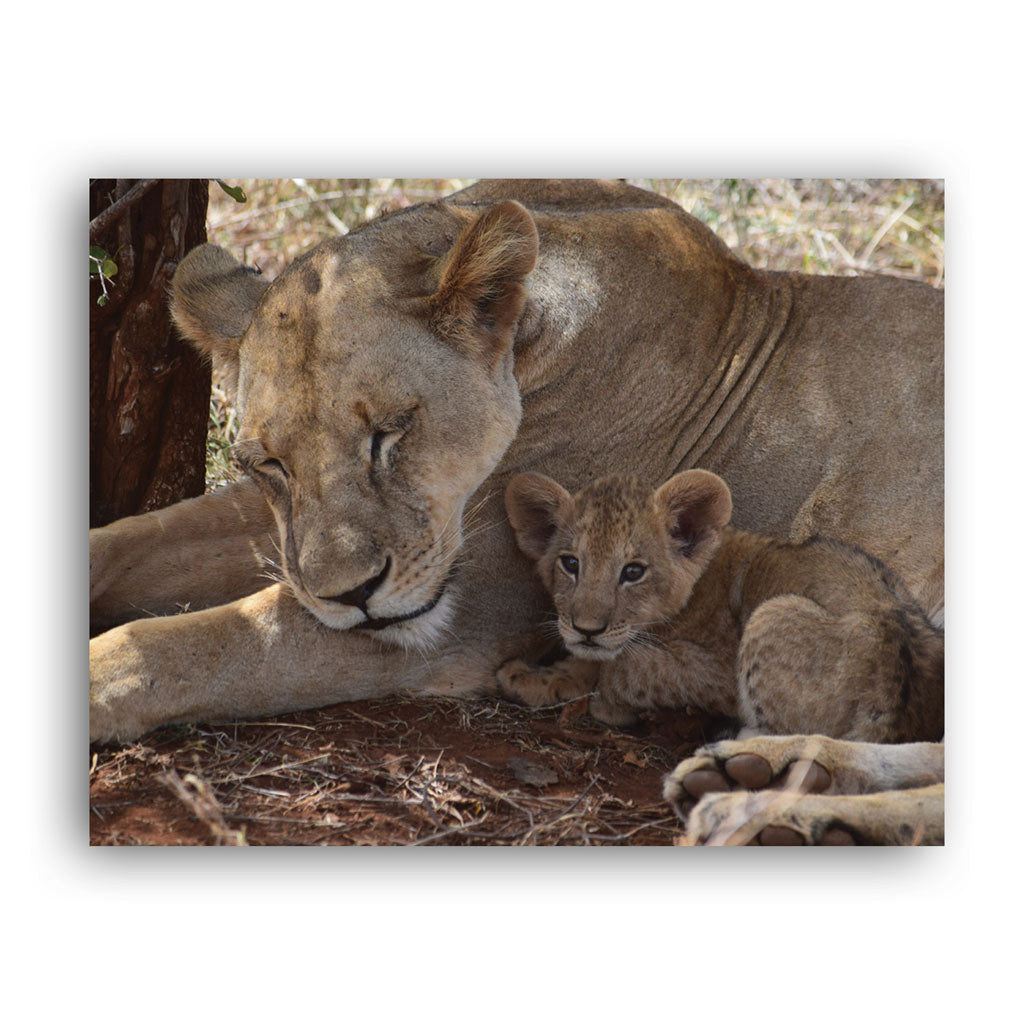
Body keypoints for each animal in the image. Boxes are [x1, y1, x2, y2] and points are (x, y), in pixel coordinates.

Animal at [89, 179, 943, 845]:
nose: (350, 597)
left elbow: (187, 645)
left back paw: (778, 813)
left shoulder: (463, 614)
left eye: (392, 431)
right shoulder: (291, 540)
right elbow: (130, 542)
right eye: (267, 463)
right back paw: (771, 772)